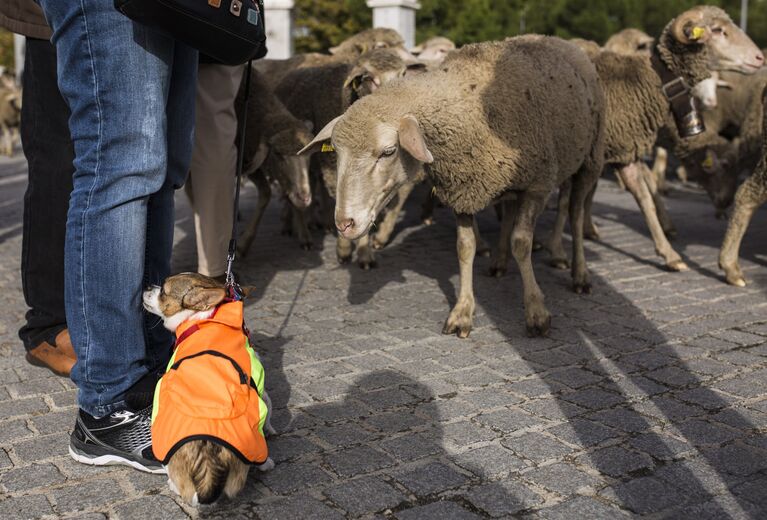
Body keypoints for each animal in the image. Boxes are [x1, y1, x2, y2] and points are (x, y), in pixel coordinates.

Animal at [236, 69, 316, 256]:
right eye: (278, 154)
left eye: (309, 154)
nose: (305, 198)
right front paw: (242, 244)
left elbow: (273, 194)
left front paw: (304, 236)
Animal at [300, 35, 608, 338]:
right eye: (337, 152)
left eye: (388, 152)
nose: (343, 224)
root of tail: (562, 41)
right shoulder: (463, 187)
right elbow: (464, 247)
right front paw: (462, 313)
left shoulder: (537, 185)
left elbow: (521, 243)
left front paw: (536, 312)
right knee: (509, 211)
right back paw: (499, 262)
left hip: (589, 160)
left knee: (576, 215)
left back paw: (580, 274)